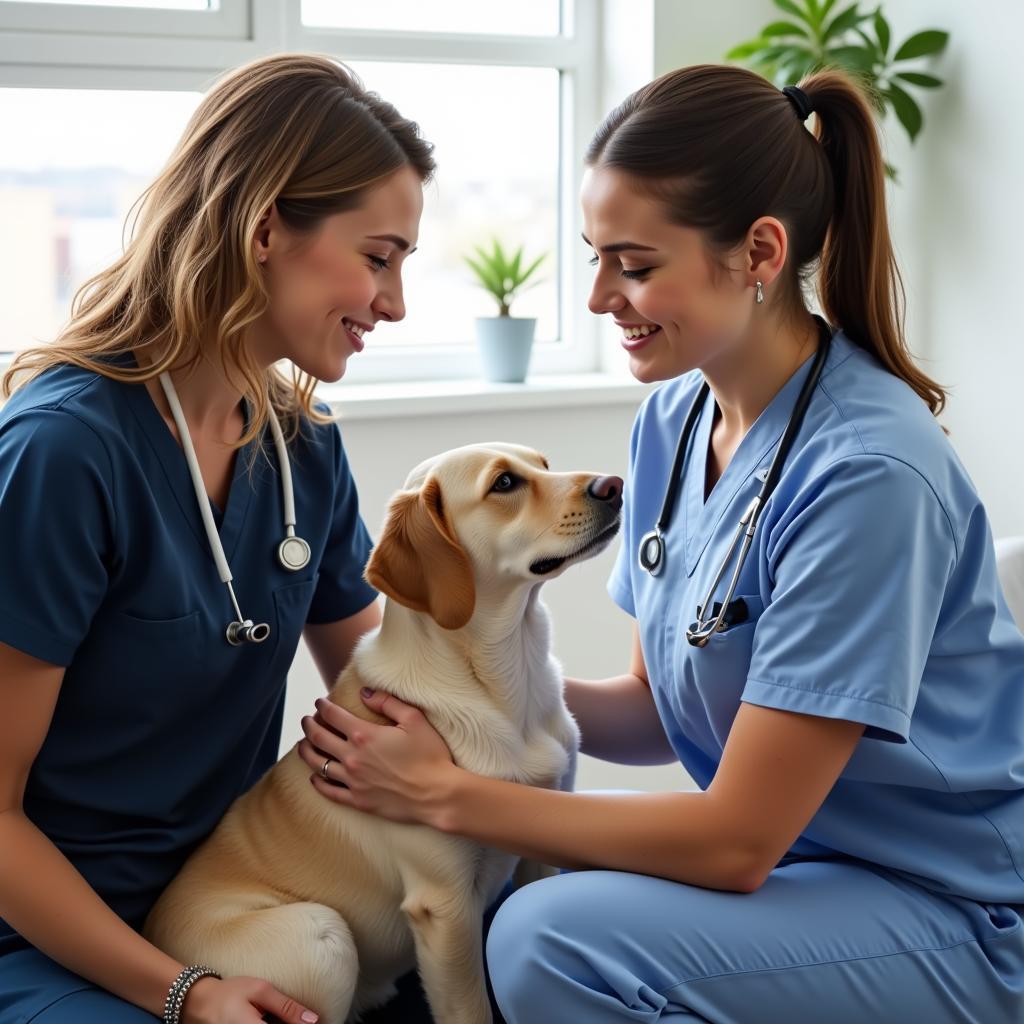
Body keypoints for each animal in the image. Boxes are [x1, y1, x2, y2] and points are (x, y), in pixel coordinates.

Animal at [142, 444, 622, 1024]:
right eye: (504, 483)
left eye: (545, 464)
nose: (615, 485)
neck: (504, 681)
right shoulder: (444, 905)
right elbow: (472, 1010)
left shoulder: (537, 854)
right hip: (321, 935)